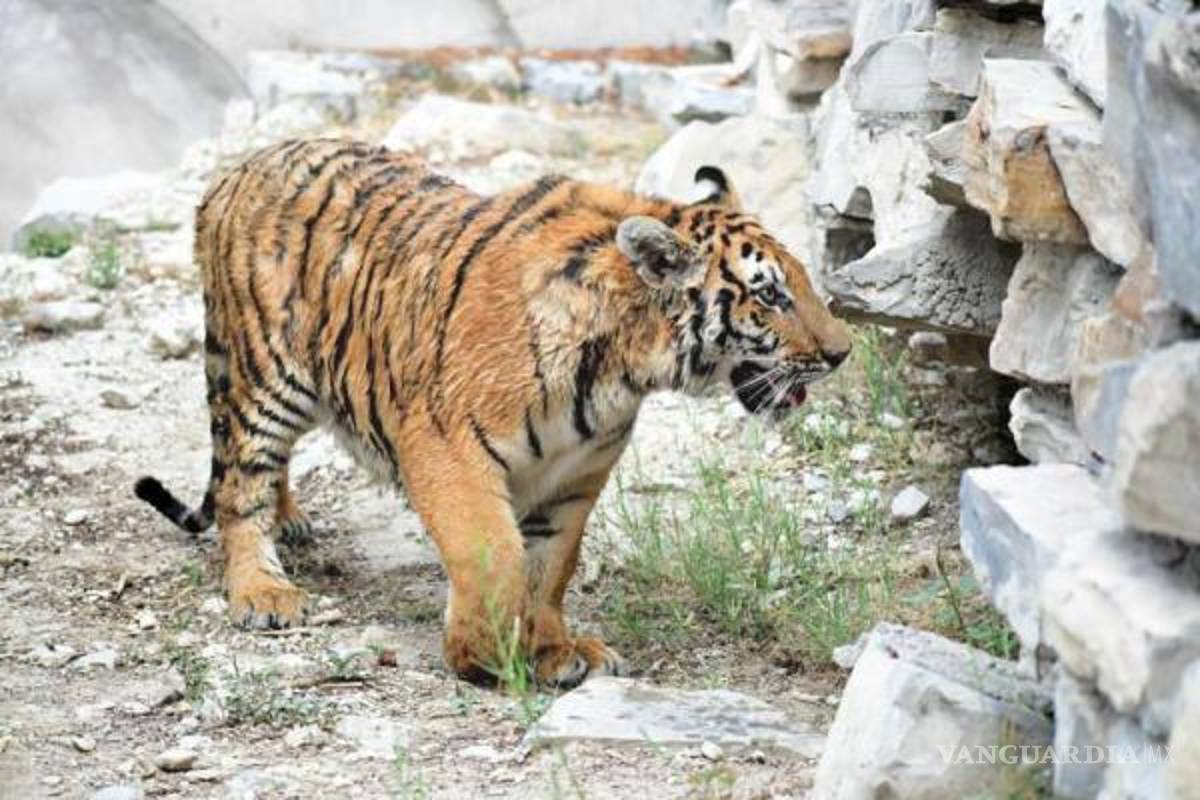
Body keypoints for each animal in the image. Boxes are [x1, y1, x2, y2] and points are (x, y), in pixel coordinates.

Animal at [134, 138, 851, 687]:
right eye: (770, 295)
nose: (843, 351)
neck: (622, 367)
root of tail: (242, 164)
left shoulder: (576, 475)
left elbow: (549, 567)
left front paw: (555, 650)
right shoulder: (447, 446)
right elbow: (495, 555)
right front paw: (483, 659)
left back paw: (291, 520)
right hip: (264, 376)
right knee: (241, 484)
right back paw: (264, 591)